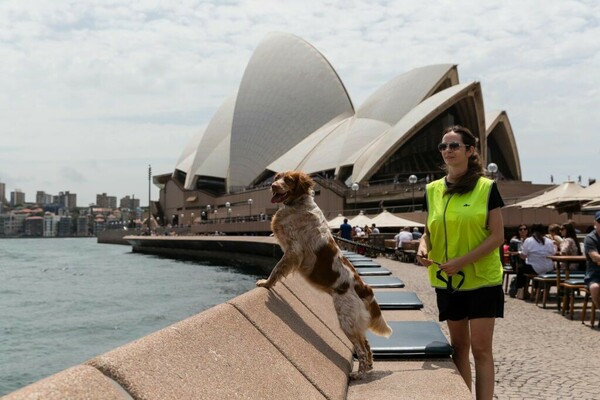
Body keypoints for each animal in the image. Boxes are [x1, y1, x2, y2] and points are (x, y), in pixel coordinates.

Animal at [256, 170, 394, 380]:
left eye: (288, 180)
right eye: (276, 178)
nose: (273, 186)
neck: (298, 205)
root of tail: (365, 288)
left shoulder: (294, 251)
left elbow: (277, 269)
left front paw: (266, 283)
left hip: (347, 321)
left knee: (361, 350)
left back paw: (358, 375)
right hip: (355, 323)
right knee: (367, 346)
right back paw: (369, 368)